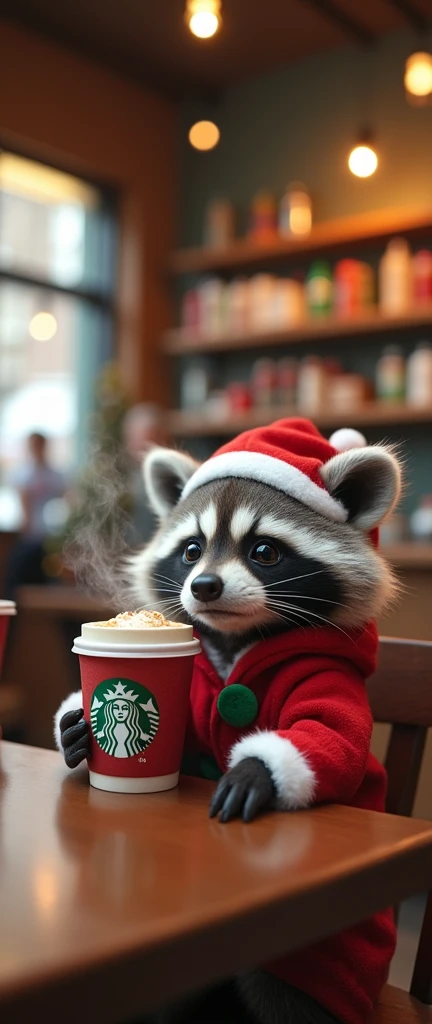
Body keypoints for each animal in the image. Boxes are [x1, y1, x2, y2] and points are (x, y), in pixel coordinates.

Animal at [56, 417, 401, 1024]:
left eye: (264, 551)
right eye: (192, 550)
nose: (204, 586)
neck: (242, 638)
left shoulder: (325, 671)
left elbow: (334, 733)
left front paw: (260, 769)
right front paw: (75, 727)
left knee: (286, 994)